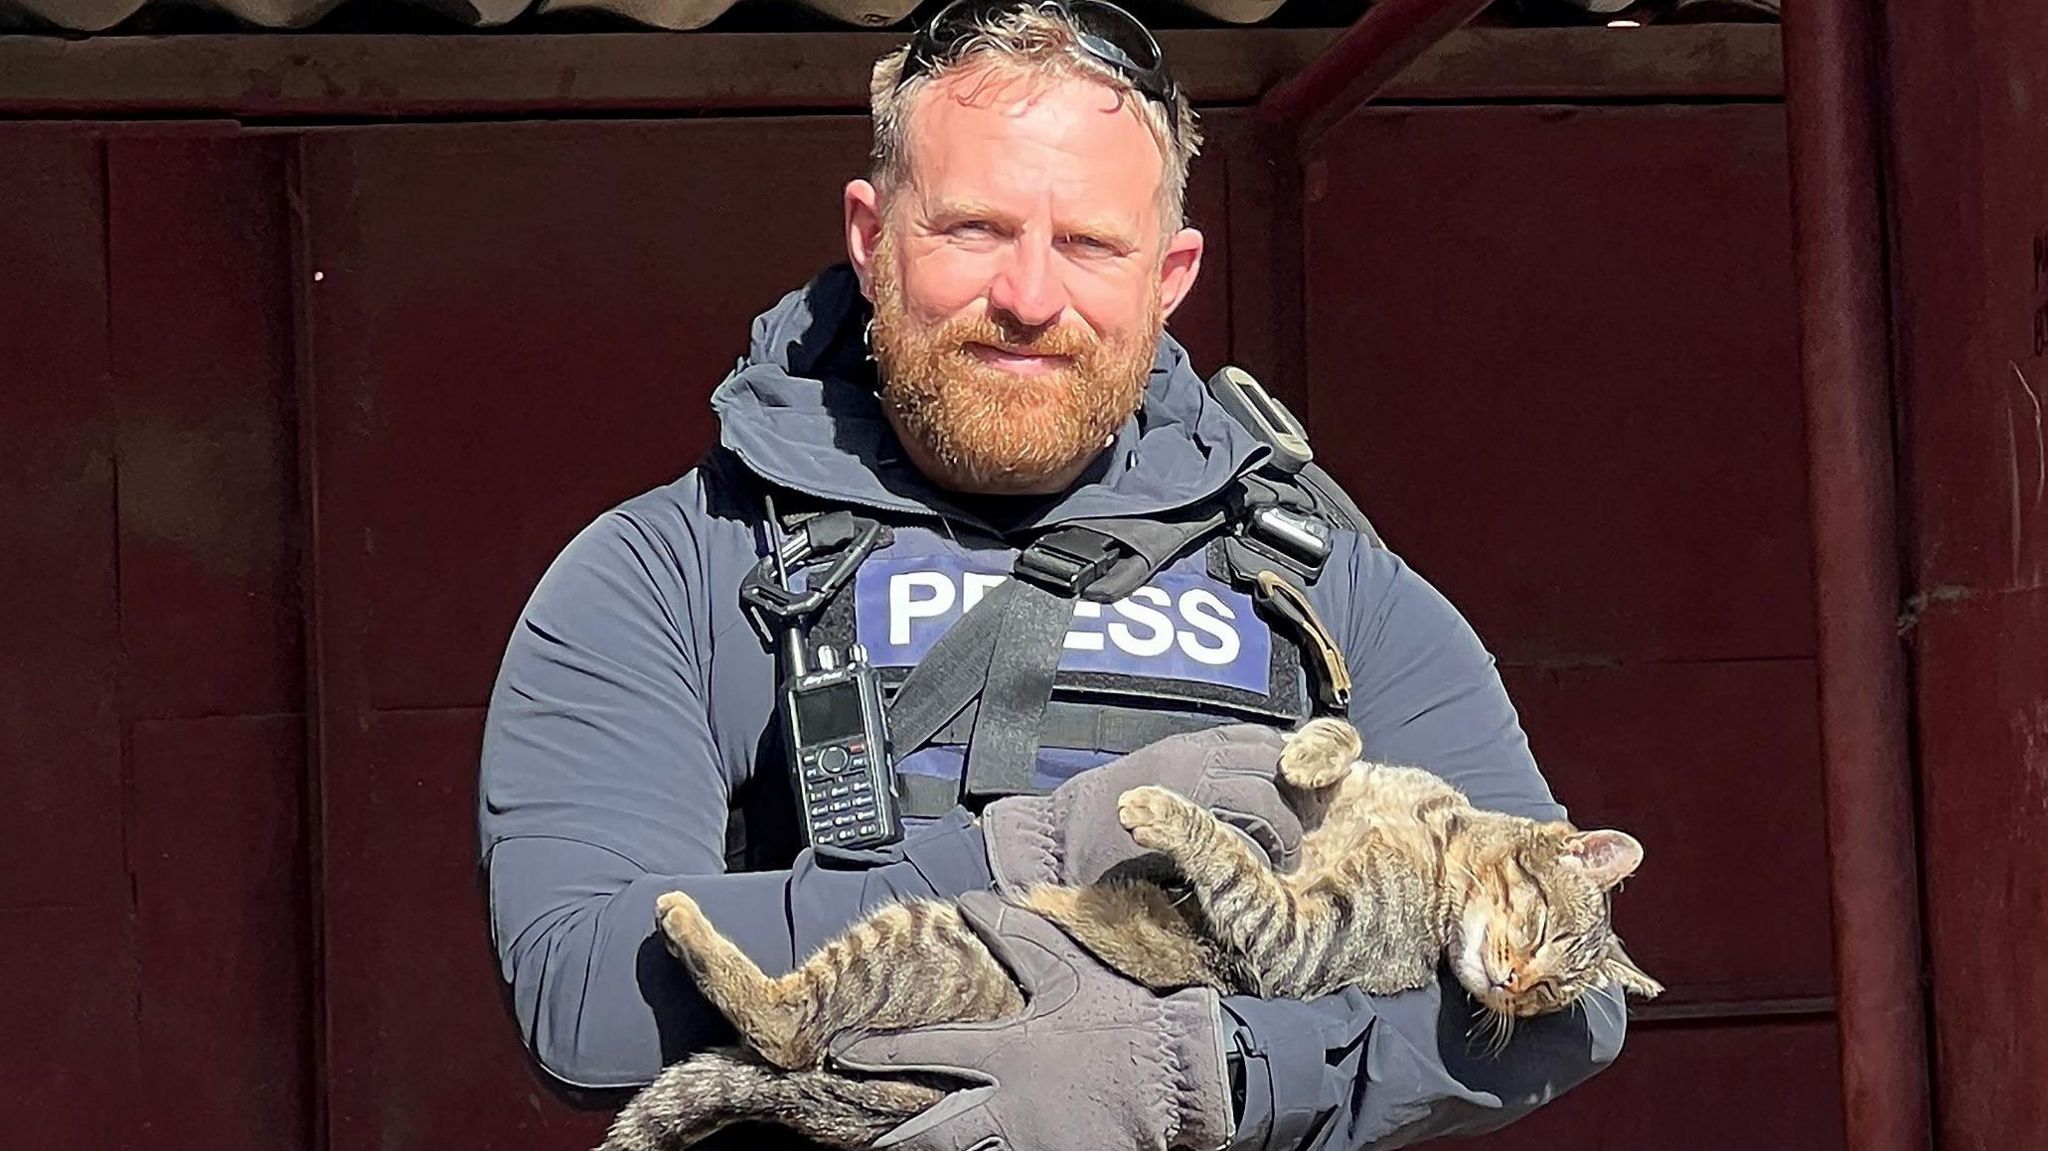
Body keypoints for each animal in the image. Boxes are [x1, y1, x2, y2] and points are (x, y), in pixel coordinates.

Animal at [598, 716, 1662, 1146]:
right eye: (1544, 928)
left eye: (1556, 994)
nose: (1515, 984)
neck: (1430, 840)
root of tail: (889, 1097)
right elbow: (1337, 740)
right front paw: (1306, 752)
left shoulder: (1302, 943)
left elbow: (1235, 865)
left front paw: (1158, 805)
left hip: (923, 937)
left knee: (788, 1024)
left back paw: (687, 920)